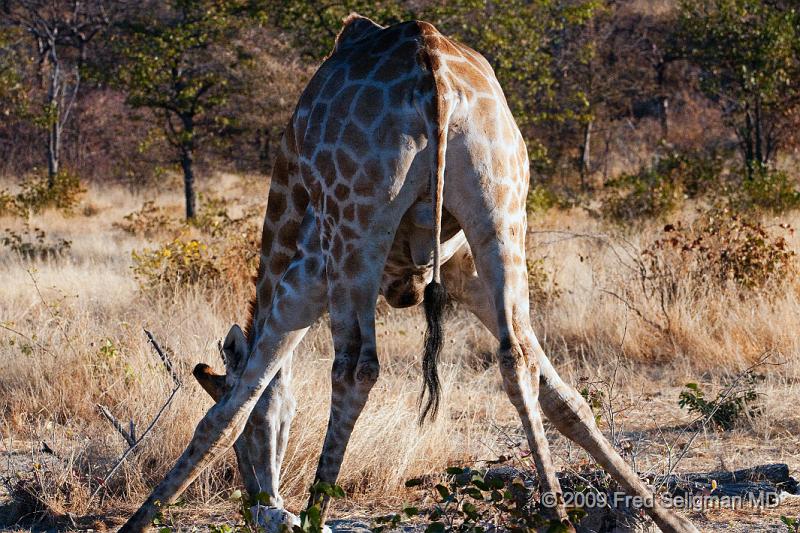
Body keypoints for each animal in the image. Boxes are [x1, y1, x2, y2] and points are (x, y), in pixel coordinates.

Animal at [120, 14, 700, 528]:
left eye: (252, 443)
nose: (262, 504)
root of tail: (434, 71)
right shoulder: (464, 274)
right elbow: (564, 396)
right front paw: (670, 519)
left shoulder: (303, 279)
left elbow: (230, 408)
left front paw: (140, 519)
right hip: (501, 209)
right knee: (516, 356)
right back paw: (558, 517)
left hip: (357, 224)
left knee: (356, 366)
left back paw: (313, 517)